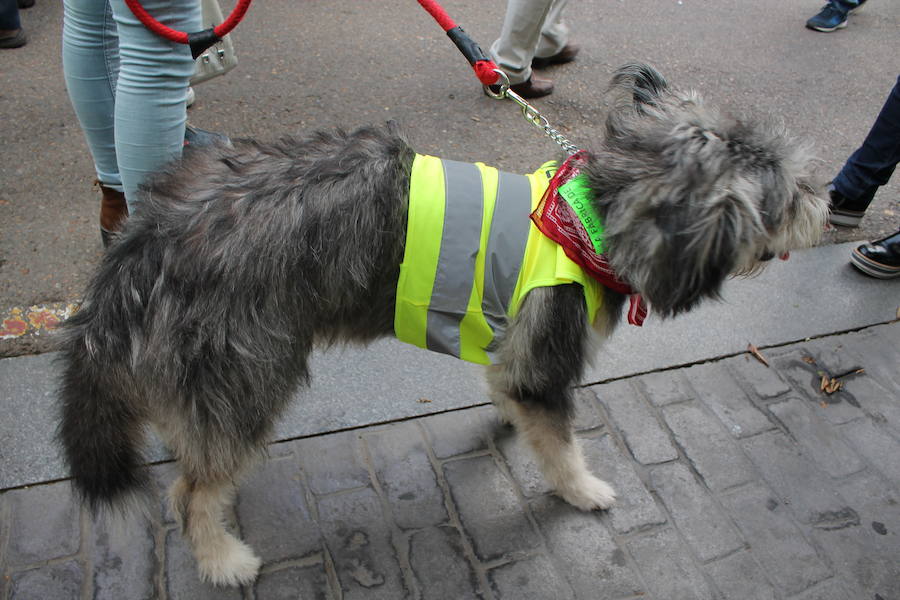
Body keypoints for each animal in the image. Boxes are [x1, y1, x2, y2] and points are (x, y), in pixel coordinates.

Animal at [56, 64, 828, 584]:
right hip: (248, 374)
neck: (590, 217)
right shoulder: (546, 364)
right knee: (187, 492)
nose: (825, 200)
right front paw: (582, 490)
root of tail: (138, 248)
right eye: (786, 195)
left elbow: (511, 397)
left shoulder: (515, 358)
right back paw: (221, 558)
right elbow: (560, 443)